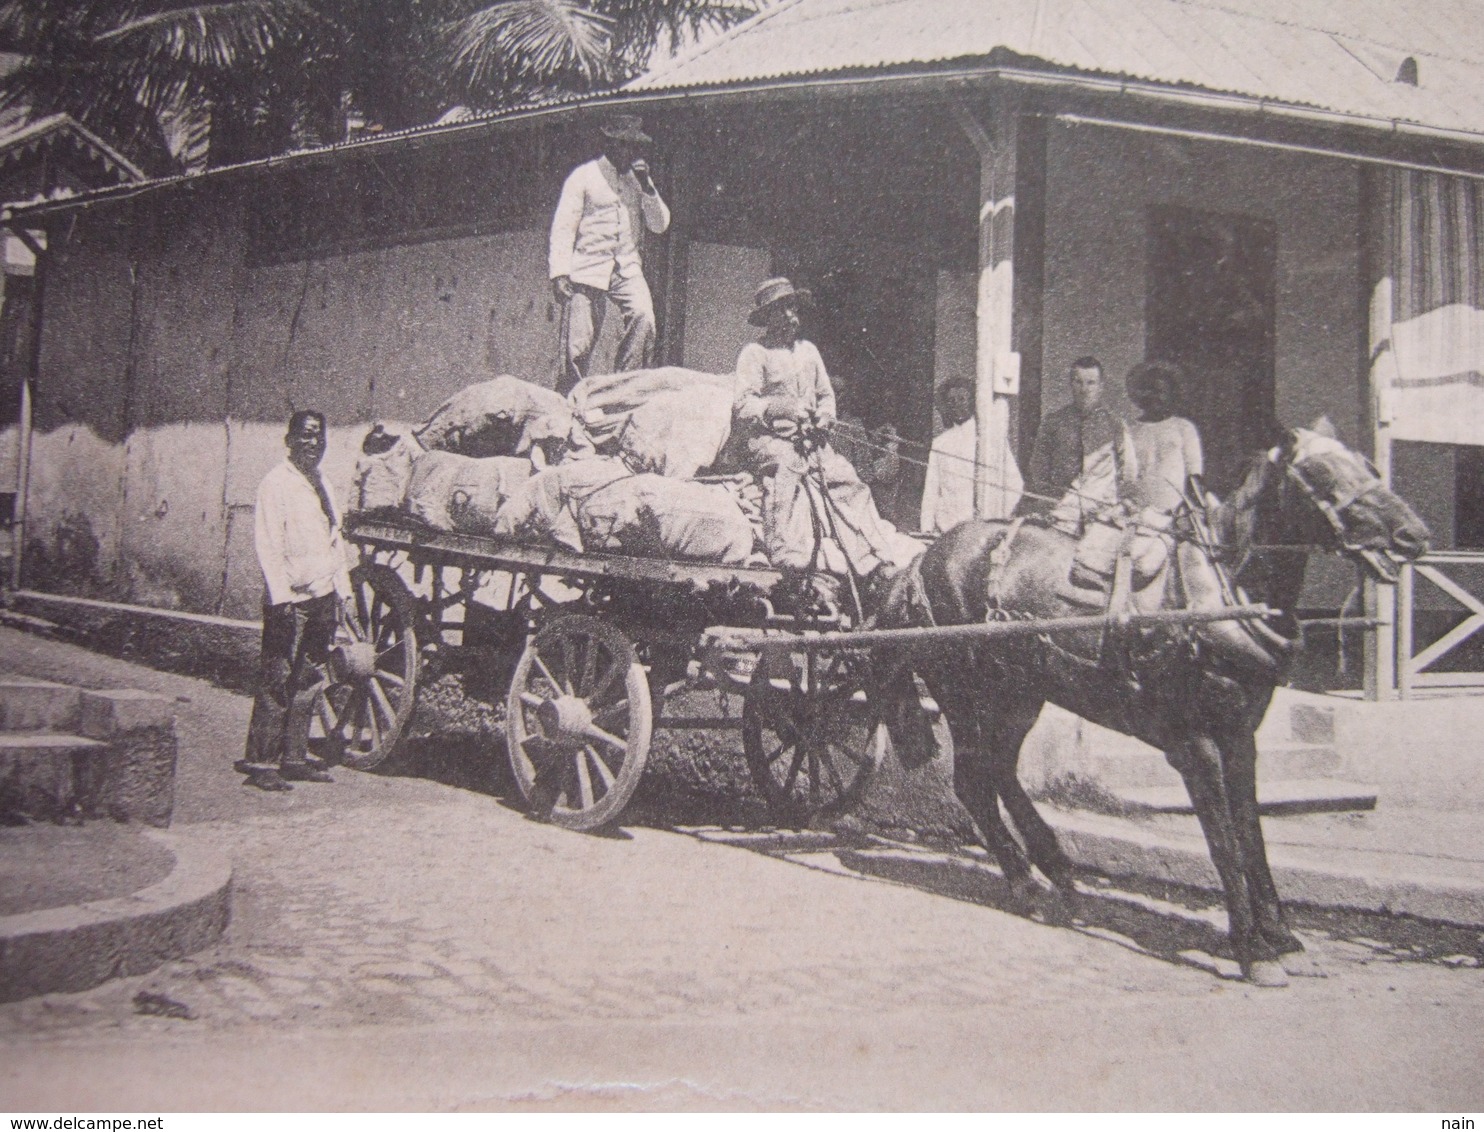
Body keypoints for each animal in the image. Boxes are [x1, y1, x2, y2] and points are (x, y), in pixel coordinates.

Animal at [872, 421, 1430, 985]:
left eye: (1370, 466)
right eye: (1321, 474)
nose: (1414, 535)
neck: (1219, 593)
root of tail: (923, 559)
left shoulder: (1240, 734)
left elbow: (1250, 834)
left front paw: (1282, 936)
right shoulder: (1195, 742)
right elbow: (1222, 840)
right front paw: (1252, 947)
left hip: (1019, 694)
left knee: (999, 770)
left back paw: (1057, 871)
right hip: (964, 693)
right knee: (973, 780)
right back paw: (1026, 883)